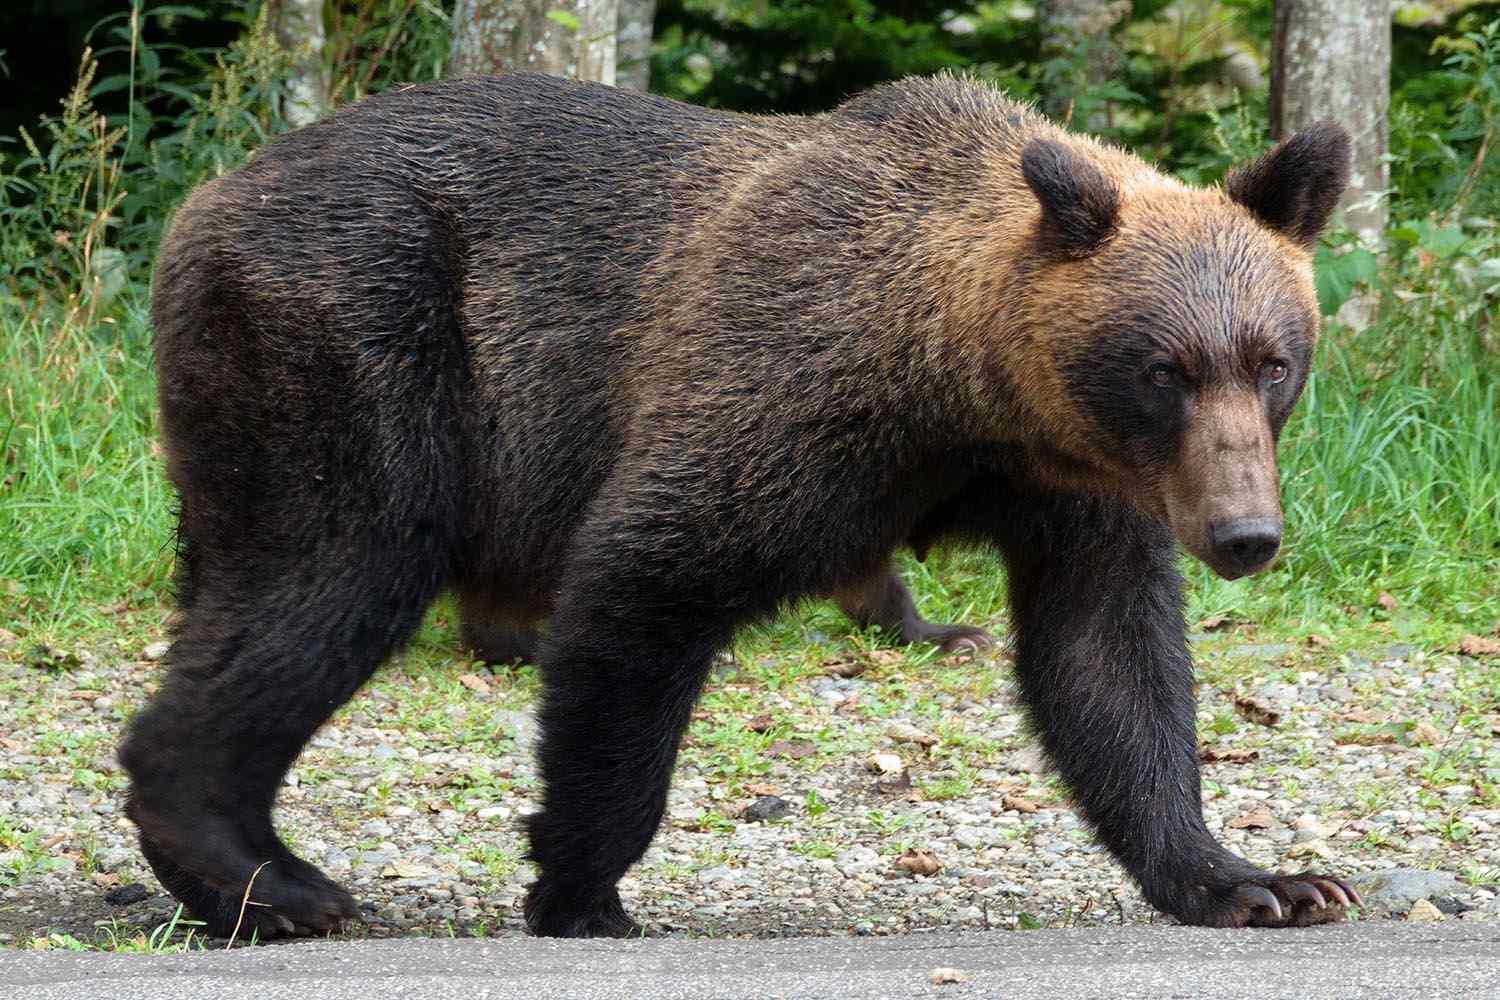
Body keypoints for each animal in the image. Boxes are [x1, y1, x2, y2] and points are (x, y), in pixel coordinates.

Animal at [122, 72, 1357, 939]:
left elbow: (1108, 662)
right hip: (361, 340)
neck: (961, 383)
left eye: (1273, 361)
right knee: (331, 571)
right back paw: (270, 879)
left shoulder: (1070, 486)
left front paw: (1260, 878)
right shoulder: (785, 384)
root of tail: (203, 201)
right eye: (1165, 368)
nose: (1245, 534)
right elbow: (649, 575)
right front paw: (580, 883)